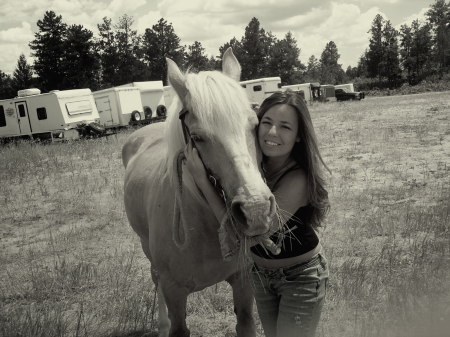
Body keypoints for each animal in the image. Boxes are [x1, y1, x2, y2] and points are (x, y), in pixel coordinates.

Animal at [123, 48, 276, 336]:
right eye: (197, 137)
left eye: (254, 124)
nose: (256, 210)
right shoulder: (174, 292)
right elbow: (177, 324)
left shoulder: (243, 281)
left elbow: (245, 322)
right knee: (154, 279)